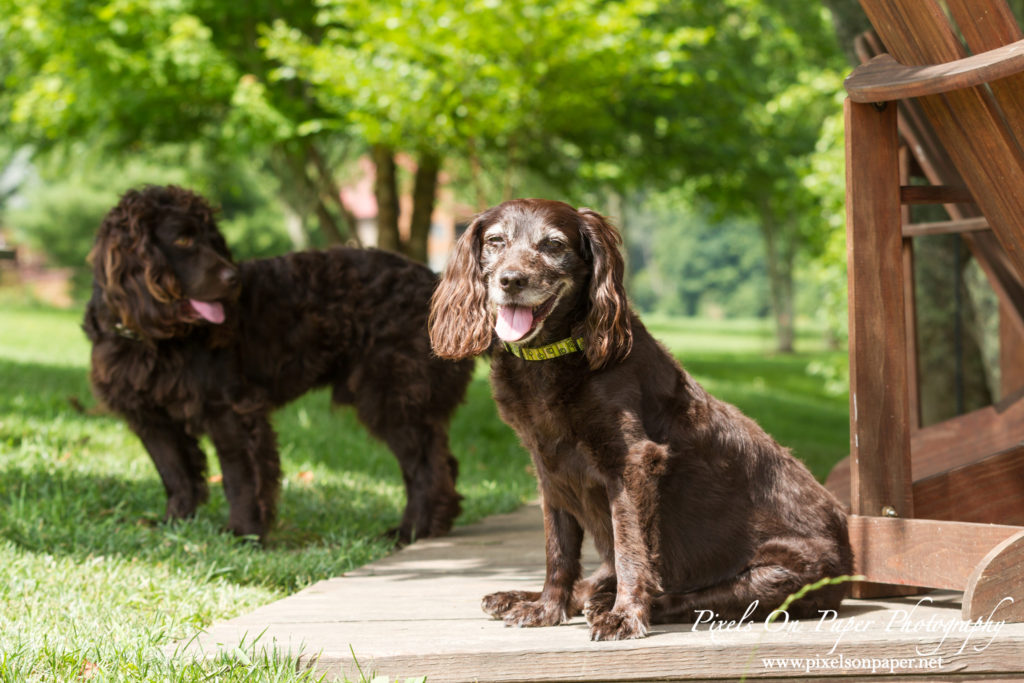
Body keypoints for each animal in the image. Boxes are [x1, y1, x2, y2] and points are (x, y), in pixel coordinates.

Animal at [86, 183, 473, 544]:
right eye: (183, 239)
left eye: (214, 241)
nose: (232, 280)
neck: (149, 339)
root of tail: (437, 283)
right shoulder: (151, 417)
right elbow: (175, 474)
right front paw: (175, 524)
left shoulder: (231, 409)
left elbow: (240, 476)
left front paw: (244, 533)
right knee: (444, 463)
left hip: (394, 398)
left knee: (427, 469)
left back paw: (412, 531)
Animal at [428, 197, 851, 643]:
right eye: (496, 240)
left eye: (554, 244)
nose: (511, 280)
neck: (553, 357)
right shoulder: (549, 468)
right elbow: (558, 550)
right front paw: (545, 607)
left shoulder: (632, 463)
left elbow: (632, 551)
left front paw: (625, 615)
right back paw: (521, 597)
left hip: (780, 573)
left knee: (690, 595)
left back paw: (616, 605)